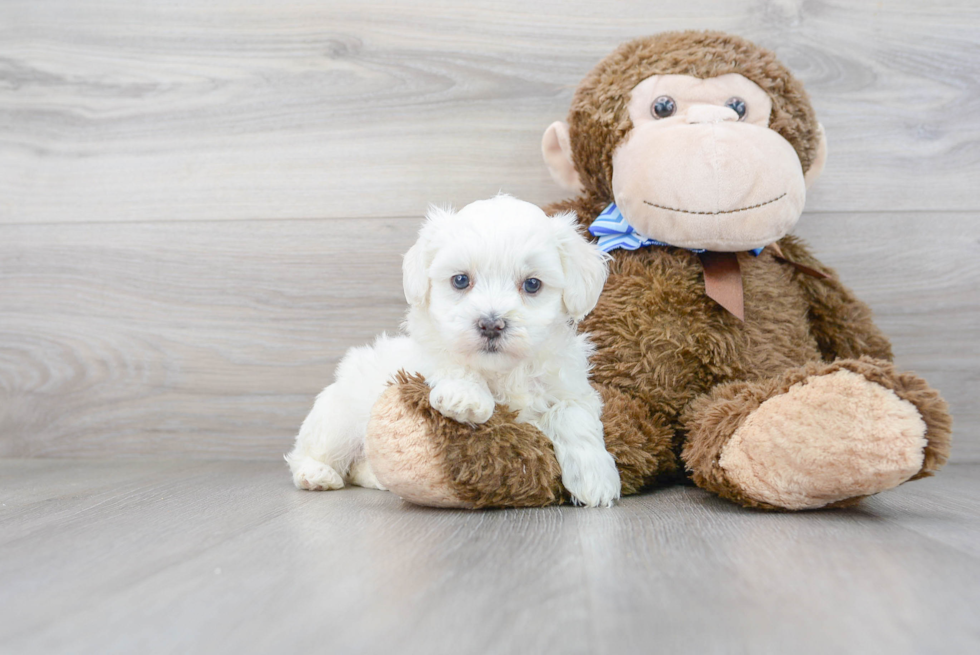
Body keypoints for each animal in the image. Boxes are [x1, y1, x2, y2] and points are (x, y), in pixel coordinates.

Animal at [286, 195, 620, 508]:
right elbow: (449, 362)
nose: (491, 324)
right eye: (460, 280)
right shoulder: (425, 359)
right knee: (310, 452)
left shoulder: (572, 387)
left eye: (533, 284)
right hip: (339, 419)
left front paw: (595, 478)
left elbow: (574, 415)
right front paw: (465, 396)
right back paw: (316, 474)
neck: (503, 370)